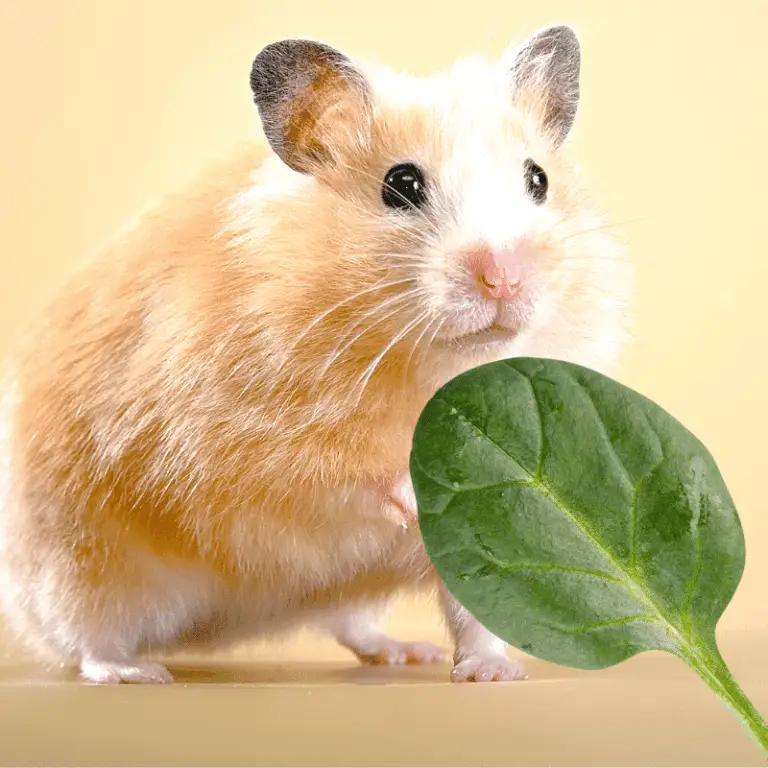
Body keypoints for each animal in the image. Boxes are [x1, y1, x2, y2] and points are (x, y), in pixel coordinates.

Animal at [0, 24, 632, 684]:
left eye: (538, 180)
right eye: (401, 185)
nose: (504, 278)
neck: (432, 362)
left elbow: (476, 611)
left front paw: (491, 673)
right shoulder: (235, 438)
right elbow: (334, 471)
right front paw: (415, 496)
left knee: (348, 623)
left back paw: (407, 652)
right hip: (79, 565)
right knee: (85, 641)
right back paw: (135, 672)